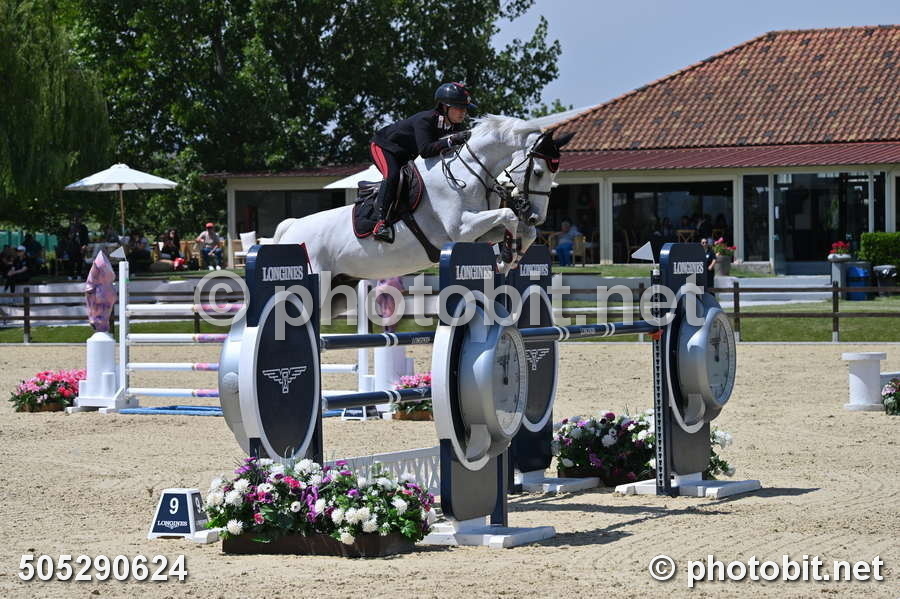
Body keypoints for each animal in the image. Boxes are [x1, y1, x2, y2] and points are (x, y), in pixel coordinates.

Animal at [274, 114, 572, 282]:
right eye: (538, 172)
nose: (535, 215)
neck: (468, 172)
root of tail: (291, 227)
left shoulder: (477, 232)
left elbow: (522, 230)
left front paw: (511, 257)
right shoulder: (461, 228)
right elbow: (509, 215)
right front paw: (507, 255)